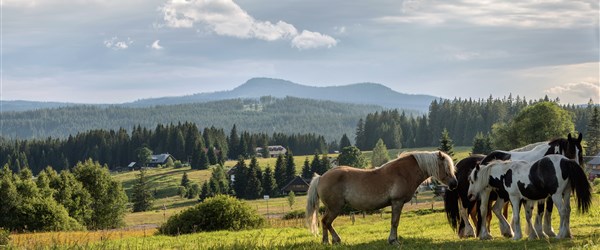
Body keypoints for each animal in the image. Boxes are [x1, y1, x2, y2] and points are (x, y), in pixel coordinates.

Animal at [308, 150, 458, 244]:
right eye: (446, 167)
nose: (454, 184)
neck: (403, 173)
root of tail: (321, 177)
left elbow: (395, 222)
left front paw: (393, 239)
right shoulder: (397, 202)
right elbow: (394, 222)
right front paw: (393, 240)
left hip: (332, 208)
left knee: (324, 222)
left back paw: (327, 241)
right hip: (335, 208)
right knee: (326, 222)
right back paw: (335, 240)